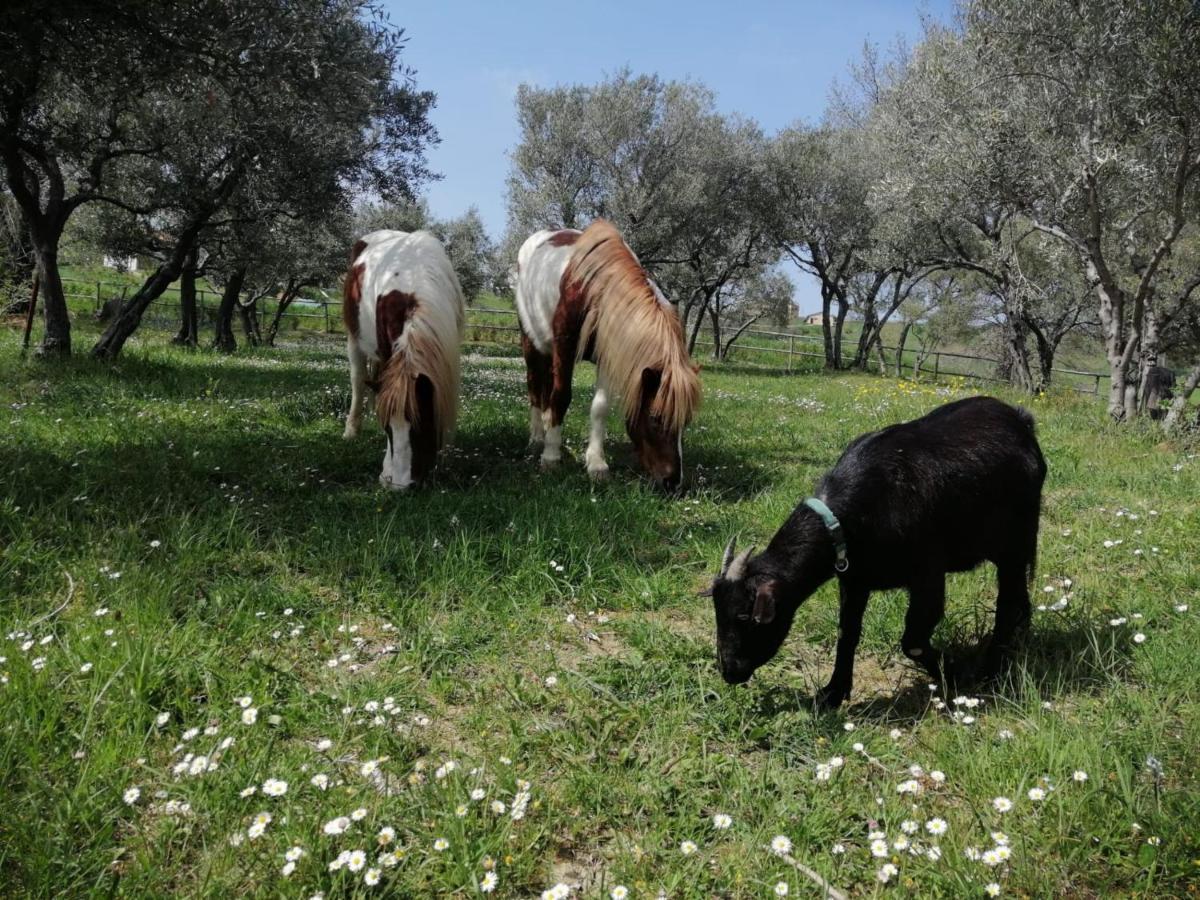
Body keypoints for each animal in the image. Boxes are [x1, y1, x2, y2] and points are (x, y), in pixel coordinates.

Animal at [345, 229, 465, 489]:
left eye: (421, 425)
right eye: (388, 429)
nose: (400, 486)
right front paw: (386, 469)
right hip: (354, 338)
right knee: (358, 380)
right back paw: (351, 430)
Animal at [516, 218, 700, 489]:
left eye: (686, 421)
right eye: (655, 418)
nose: (673, 482)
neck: (596, 289)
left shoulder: (609, 354)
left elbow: (600, 407)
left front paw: (596, 463)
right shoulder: (565, 348)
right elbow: (561, 397)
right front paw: (551, 456)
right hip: (532, 342)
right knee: (535, 387)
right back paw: (538, 438)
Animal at [705, 398, 1046, 710]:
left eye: (744, 616)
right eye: (717, 612)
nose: (729, 671)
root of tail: (1021, 420)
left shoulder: (928, 574)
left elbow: (913, 641)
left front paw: (956, 673)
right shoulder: (854, 579)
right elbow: (848, 632)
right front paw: (833, 693)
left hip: (1016, 540)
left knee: (1007, 601)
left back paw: (992, 668)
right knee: (1018, 598)